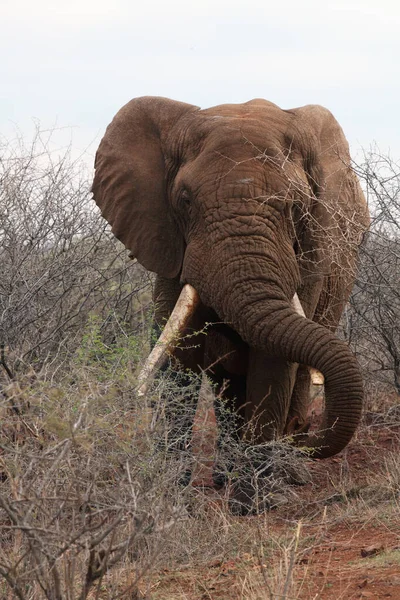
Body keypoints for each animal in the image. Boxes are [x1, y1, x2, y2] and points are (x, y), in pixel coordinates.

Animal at [92, 95, 370, 506]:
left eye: (295, 205)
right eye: (185, 201)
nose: (306, 436)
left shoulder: (312, 249)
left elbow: (274, 364)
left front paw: (251, 503)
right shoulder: (168, 244)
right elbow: (179, 360)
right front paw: (172, 495)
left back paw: (287, 473)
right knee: (228, 386)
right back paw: (229, 474)